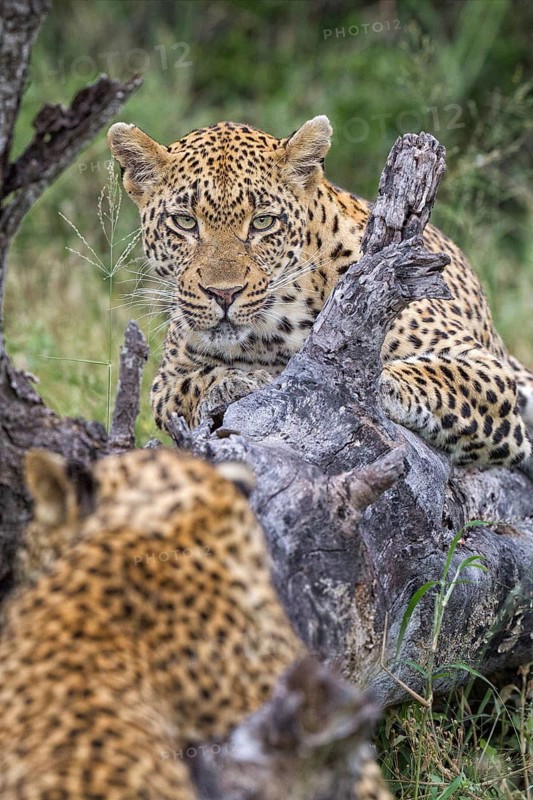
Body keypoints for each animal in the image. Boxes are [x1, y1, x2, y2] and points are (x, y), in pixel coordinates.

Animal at [108, 116, 533, 476]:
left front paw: (364, 380)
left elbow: (428, 372)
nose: (224, 294)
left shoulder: (485, 367)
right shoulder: (167, 381)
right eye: (184, 222)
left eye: (263, 222)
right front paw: (242, 381)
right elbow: (193, 385)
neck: (280, 323)